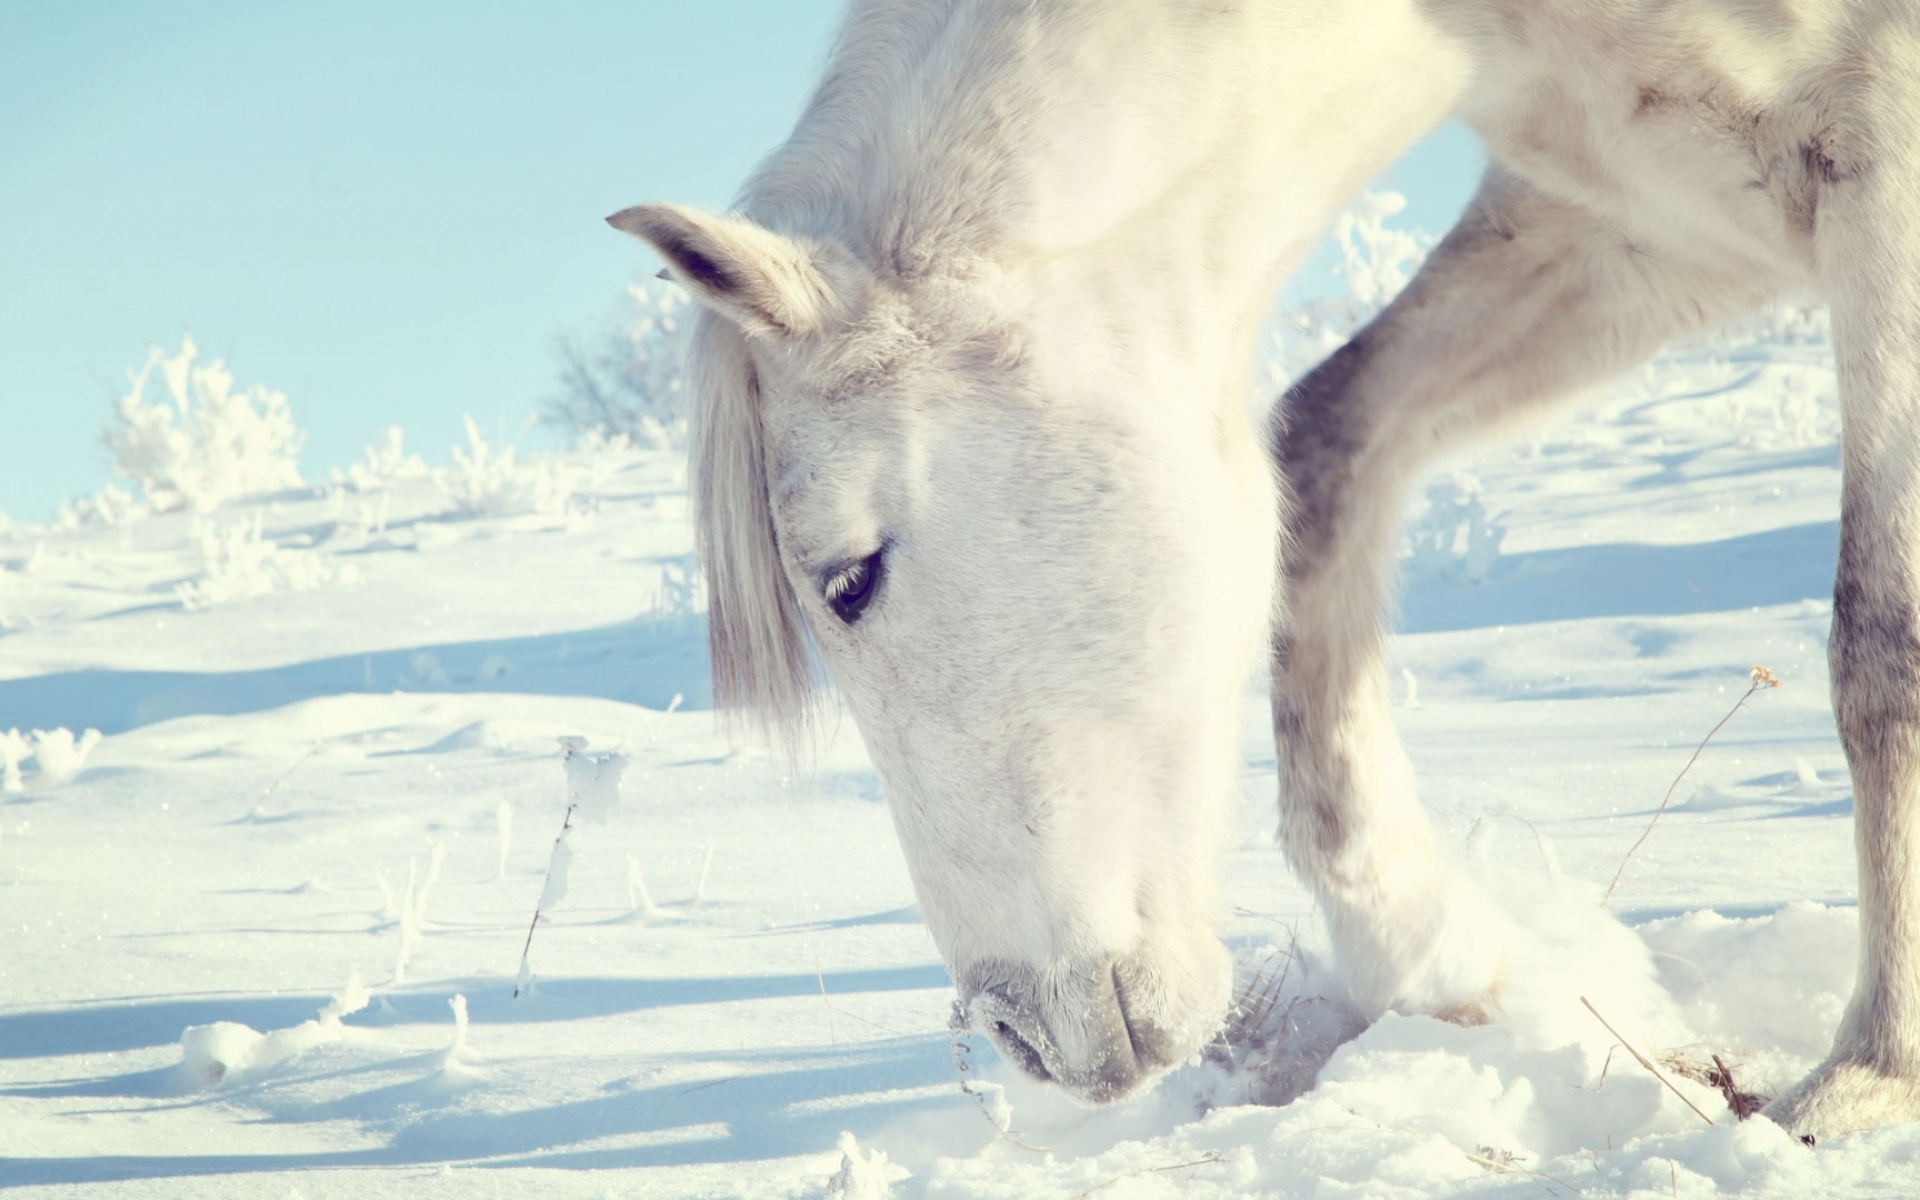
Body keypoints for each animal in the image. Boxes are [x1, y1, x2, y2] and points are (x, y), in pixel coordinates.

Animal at [609, 0, 1920, 1139]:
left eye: (850, 579)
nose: (1019, 1036)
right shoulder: (1645, 222)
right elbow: (1322, 454)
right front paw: (1441, 962)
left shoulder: (1876, 168)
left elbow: (1883, 647)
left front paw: (1866, 1080)